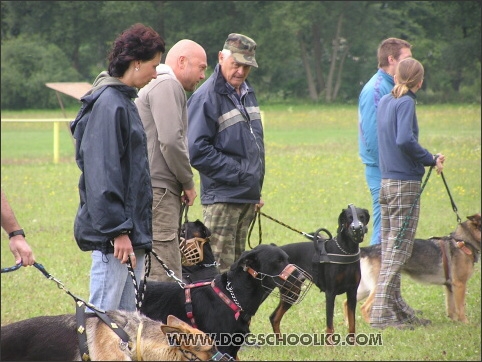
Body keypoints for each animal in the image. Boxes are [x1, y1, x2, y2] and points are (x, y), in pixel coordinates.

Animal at [141, 243, 310, 360]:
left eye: (287, 259)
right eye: (278, 261)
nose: (303, 278)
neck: (232, 296)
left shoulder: (232, 349)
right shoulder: (220, 347)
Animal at [272, 205, 370, 344]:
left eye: (362, 217)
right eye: (349, 218)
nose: (357, 229)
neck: (346, 251)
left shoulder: (352, 292)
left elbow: (352, 324)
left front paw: (353, 344)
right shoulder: (330, 293)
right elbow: (330, 325)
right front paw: (330, 346)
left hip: (292, 291)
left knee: (274, 317)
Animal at [350, 212, 482, 322]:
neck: (463, 241)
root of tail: (368, 249)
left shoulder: (449, 286)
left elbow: (451, 309)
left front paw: (455, 323)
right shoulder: (459, 284)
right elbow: (461, 308)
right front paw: (466, 324)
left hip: (365, 288)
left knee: (348, 302)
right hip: (380, 286)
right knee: (364, 307)